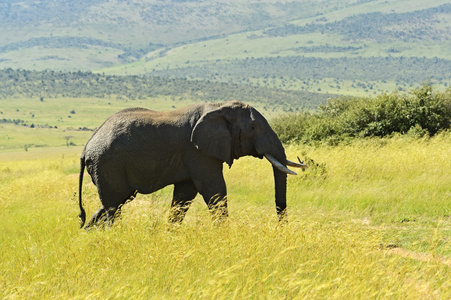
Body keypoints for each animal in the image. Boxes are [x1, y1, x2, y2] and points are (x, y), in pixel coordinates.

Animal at [77, 101, 308, 230]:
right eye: (252, 128)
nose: (282, 230)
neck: (218, 107)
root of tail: (87, 145)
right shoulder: (197, 151)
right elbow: (214, 189)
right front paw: (225, 237)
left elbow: (185, 194)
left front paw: (170, 235)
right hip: (108, 165)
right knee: (114, 206)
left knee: (115, 201)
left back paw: (88, 234)